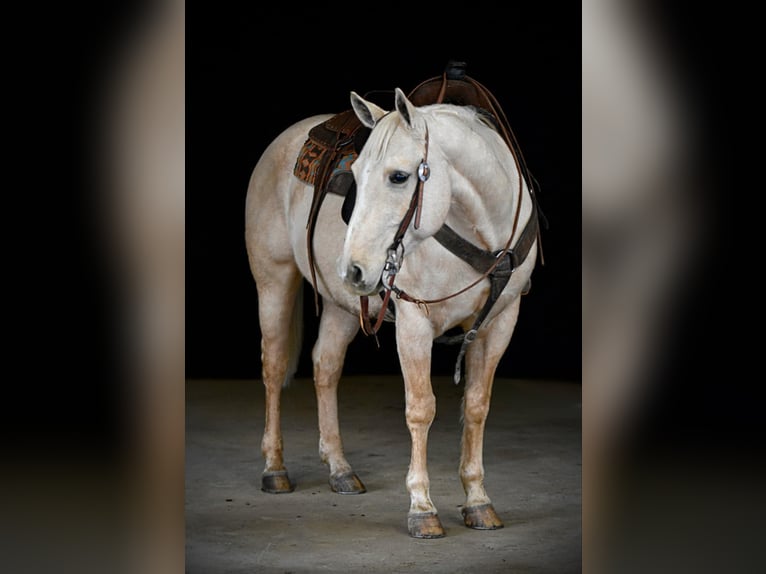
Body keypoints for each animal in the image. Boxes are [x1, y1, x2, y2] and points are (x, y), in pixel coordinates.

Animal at [246, 73, 540, 540]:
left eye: (399, 177)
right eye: (355, 176)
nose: (353, 268)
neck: (482, 233)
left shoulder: (500, 322)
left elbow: (476, 406)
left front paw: (478, 500)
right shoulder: (414, 321)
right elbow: (421, 409)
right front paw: (422, 507)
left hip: (344, 306)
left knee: (325, 366)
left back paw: (340, 469)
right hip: (274, 280)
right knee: (274, 367)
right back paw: (275, 468)